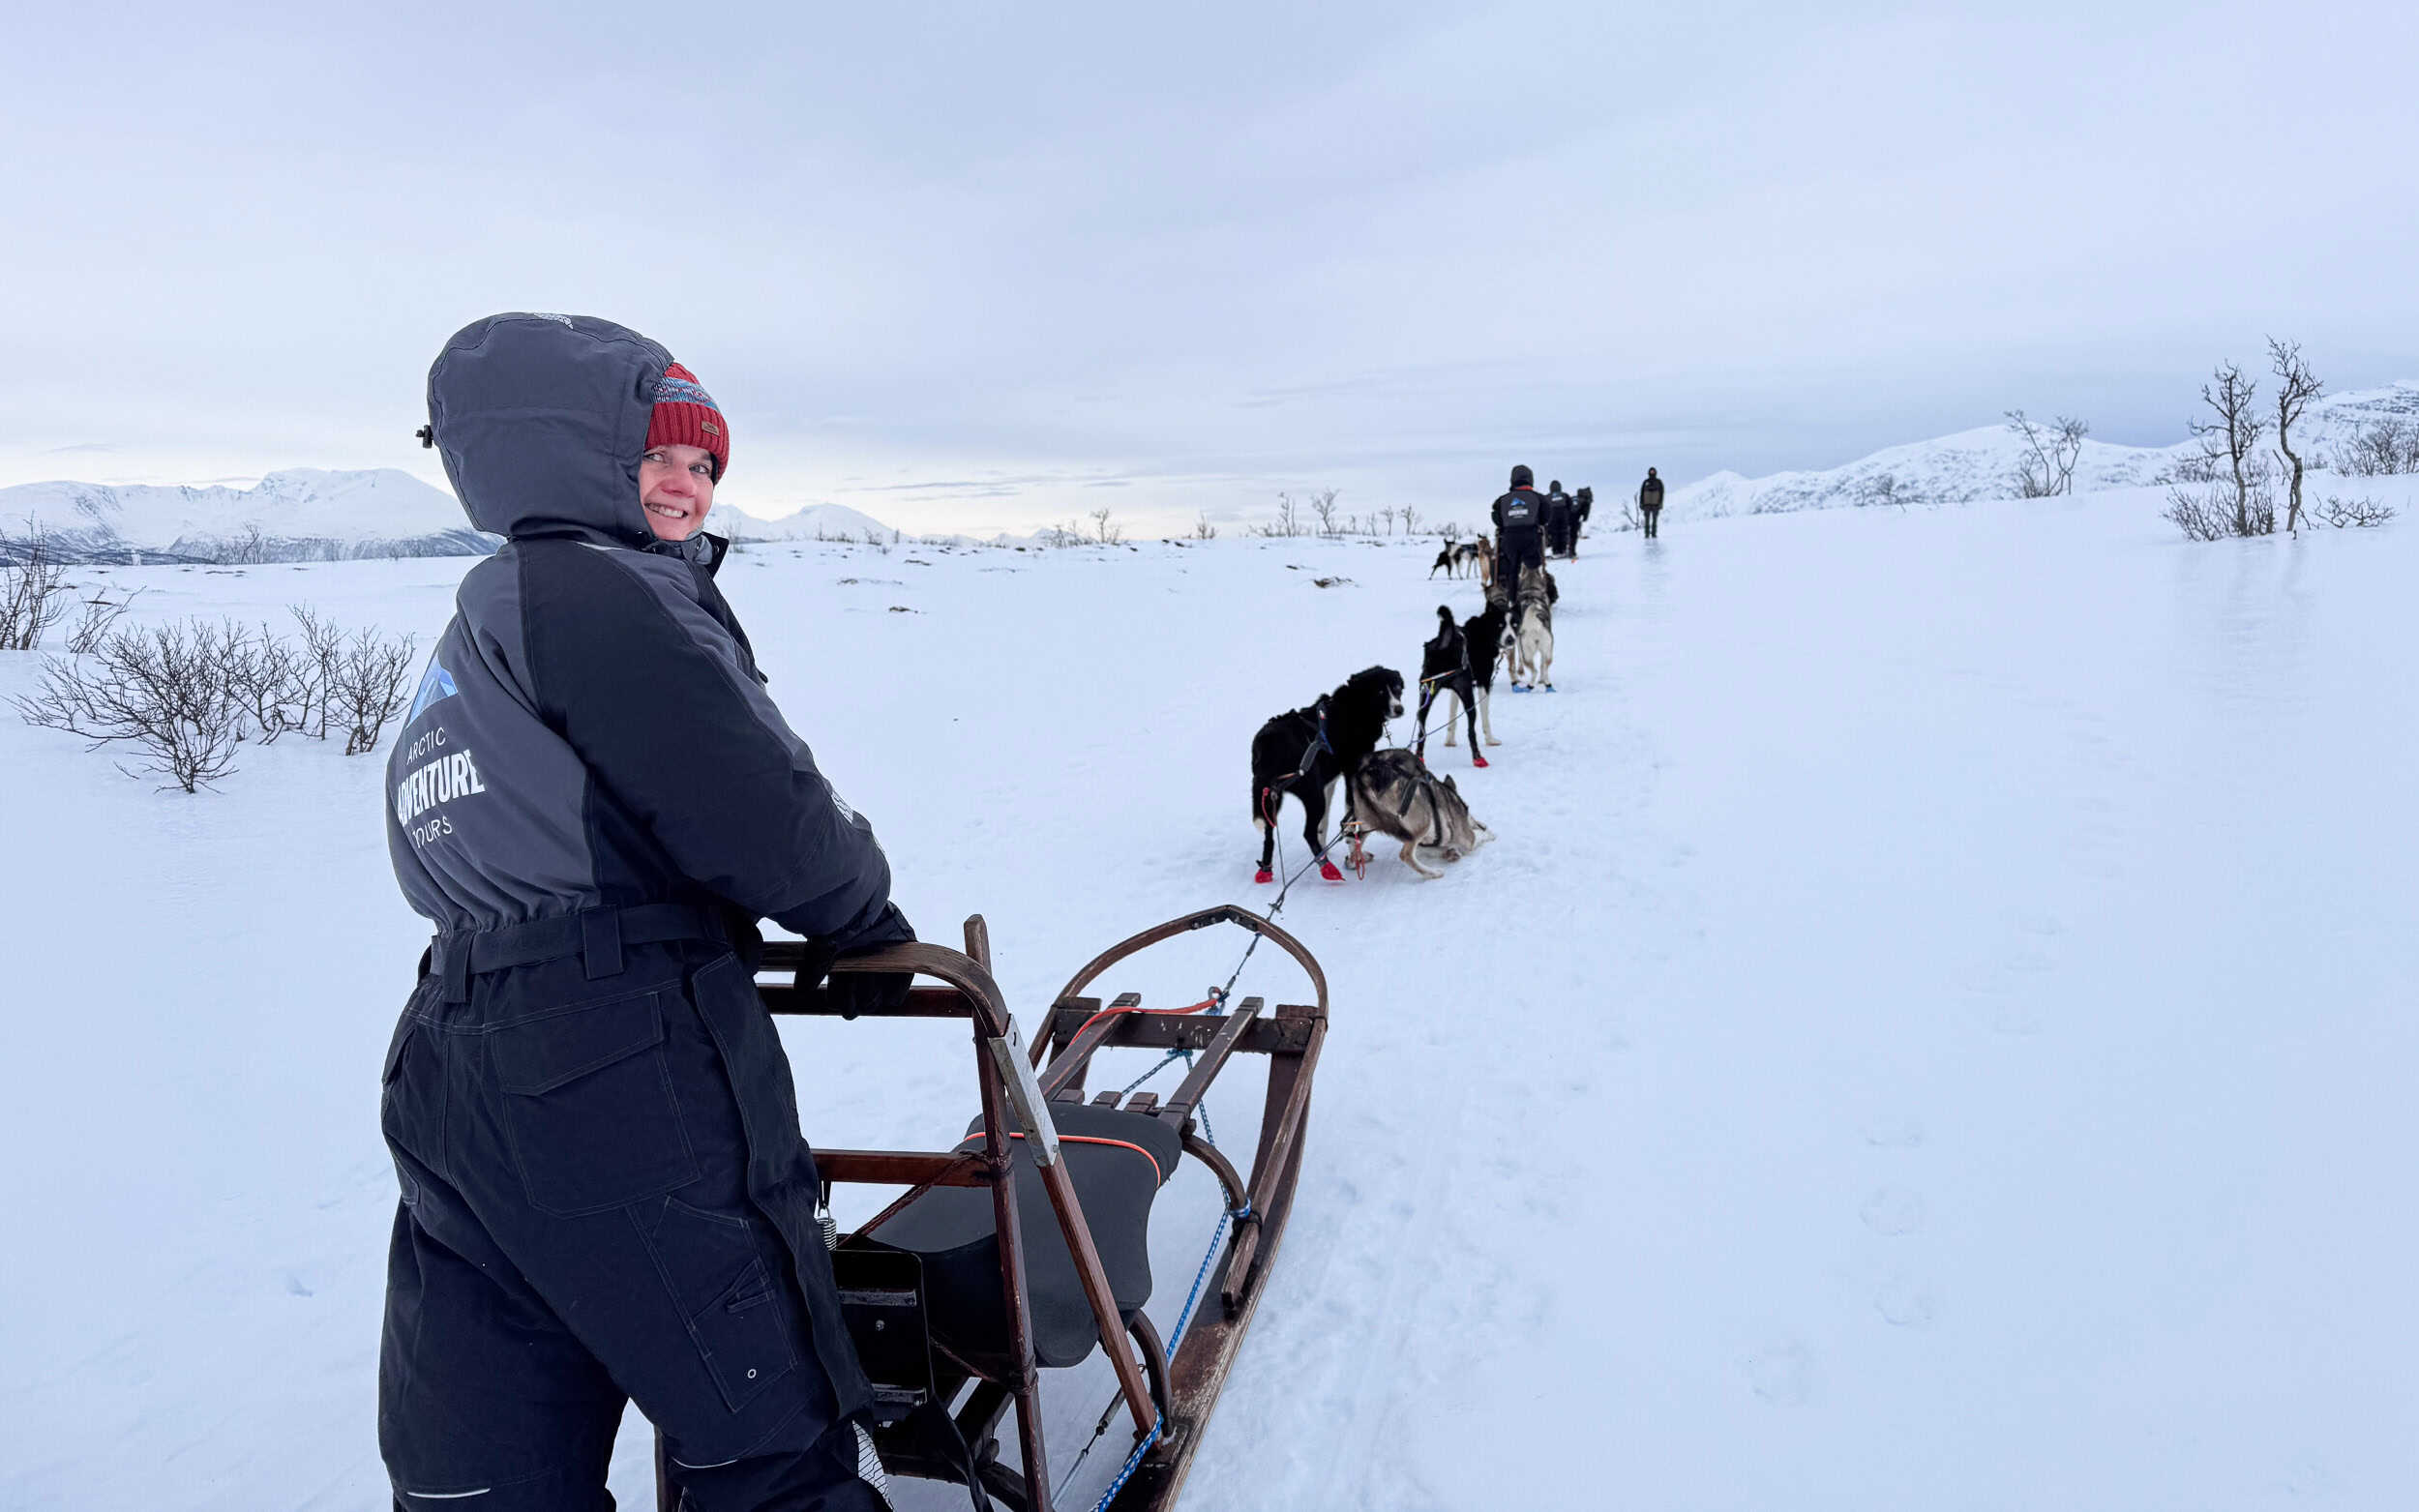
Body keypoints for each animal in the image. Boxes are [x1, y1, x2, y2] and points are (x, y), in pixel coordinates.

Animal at [1258, 663, 1413, 885]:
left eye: (1397, 688)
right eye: (1380, 692)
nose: (1399, 709)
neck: (1354, 707)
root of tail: (1268, 742)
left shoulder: (1329, 782)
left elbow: (1325, 823)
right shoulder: (1350, 774)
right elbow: (1350, 819)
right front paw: (1354, 856)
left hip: (1269, 799)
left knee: (1269, 833)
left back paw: (1266, 869)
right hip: (1312, 796)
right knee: (1307, 833)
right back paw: (1326, 867)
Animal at [1345, 750, 1490, 880]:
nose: (1482, 825)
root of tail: (1366, 776)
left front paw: (1451, 852)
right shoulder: (1467, 837)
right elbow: (1477, 837)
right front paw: (1487, 833)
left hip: (1366, 823)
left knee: (1352, 841)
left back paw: (1355, 858)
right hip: (1423, 822)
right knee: (1405, 855)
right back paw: (1433, 873)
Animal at [1509, 561, 1548, 692]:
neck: (1531, 589)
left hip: (1526, 651)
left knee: (1534, 670)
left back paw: (1530, 685)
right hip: (1547, 651)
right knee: (1544, 667)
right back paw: (1545, 683)